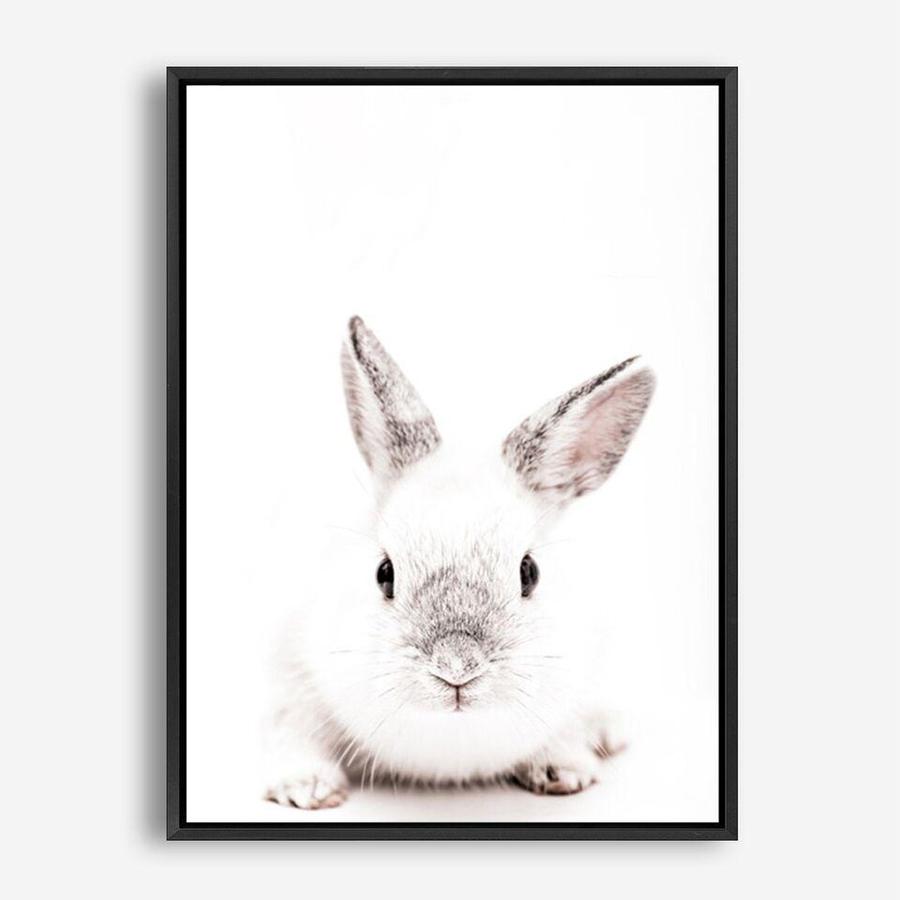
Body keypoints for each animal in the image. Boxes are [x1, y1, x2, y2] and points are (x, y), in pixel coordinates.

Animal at [263, 316, 655, 810]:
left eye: (530, 573)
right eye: (384, 574)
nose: (456, 667)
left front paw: (564, 769)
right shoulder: (287, 680)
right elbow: (289, 731)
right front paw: (307, 788)